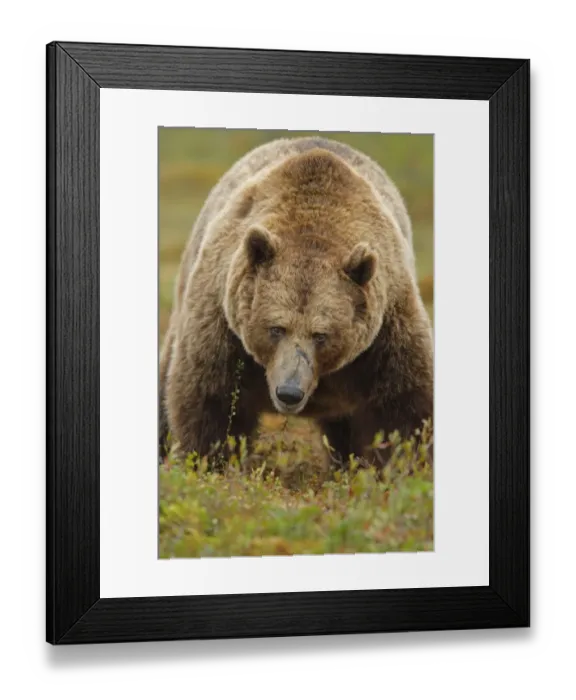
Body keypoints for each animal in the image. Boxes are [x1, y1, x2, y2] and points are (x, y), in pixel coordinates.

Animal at [159, 136, 433, 469]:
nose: (289, 392)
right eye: (276, 328)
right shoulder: (222, 322)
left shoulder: (386, 330)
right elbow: (210, 399)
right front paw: (207, 461)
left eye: (321, 334)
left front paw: (402, 465)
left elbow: (403, 409)